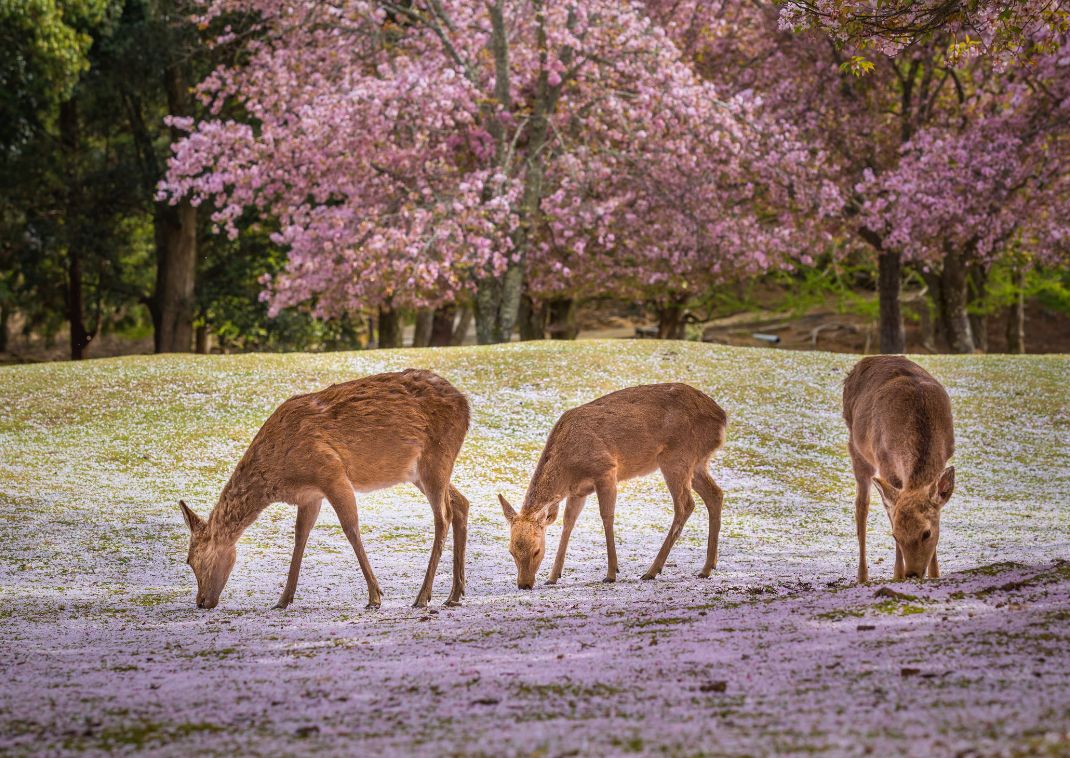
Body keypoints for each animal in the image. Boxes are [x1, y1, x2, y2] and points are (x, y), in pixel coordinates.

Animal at [177, 370, 470, 612]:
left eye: (190, 559)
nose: (201, 601)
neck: (280, 473)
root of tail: (466, 406)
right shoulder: (310, 494)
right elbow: (300, 537)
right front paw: (283, 599)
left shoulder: (331, 471)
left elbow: (350, 528)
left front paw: (375, 596)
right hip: (420, 471)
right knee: (461, 503)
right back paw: (454, 594)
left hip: (436, 458)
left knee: (442, 515)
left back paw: (422, 597)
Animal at [500, 381, 727, 590]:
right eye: (511, 551)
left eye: (536, 550)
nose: (524, 584)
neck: (568, 469)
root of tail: (722, 418)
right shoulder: (578, 491)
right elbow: (568, 523)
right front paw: (553, 576)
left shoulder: (606, 470)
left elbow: (606, 517)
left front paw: (611, 573)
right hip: (697, 462)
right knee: (715, 494)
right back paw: (707, 567)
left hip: (676, 457)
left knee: (685, 504)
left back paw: (652, 570)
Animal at [843, 355, 963, 582]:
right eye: (895, 536)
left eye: (927, 533)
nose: (913, 573)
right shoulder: (886, 463)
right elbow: (890, 511)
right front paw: (897, 575)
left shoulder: (946, 456)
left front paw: (936, 574)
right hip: (857, 449)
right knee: (861, 506)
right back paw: (862, 576)